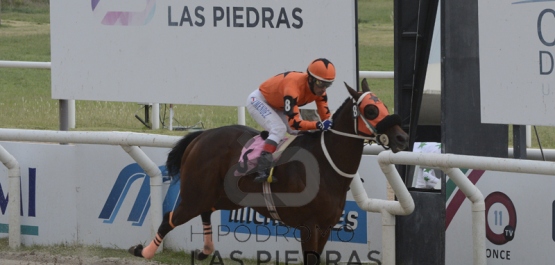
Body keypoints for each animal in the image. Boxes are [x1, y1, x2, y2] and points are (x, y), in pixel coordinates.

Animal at [129, 78, 408, 262]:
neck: (325, 165)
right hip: (194, 194)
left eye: (383, 105)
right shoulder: (310, 226)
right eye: (370, 109)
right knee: (170, 218)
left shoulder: (326, 227)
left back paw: (205, 250)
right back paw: (144, 251)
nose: (402, 138)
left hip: (224, 196)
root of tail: (201, 136)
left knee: (205, 212)